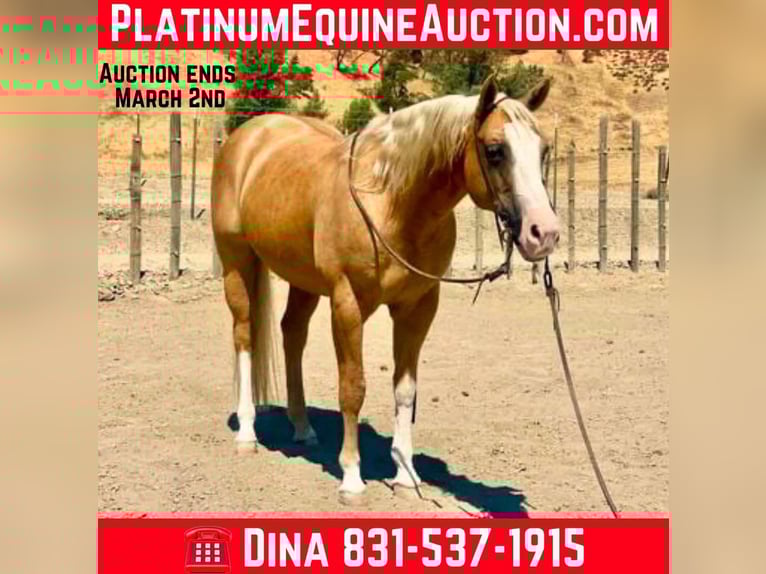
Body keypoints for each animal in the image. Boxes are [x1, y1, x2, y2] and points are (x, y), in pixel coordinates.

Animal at [211, 75, 560, 502]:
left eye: (543, 150)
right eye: (495, 151)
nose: (544, 233)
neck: (392, 203)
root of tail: (248, 136)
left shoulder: (418, 307)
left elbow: (405, 390)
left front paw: (406, 475)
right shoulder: (347, 303)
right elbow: (353, 387)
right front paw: (351, 477)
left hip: (303, 280)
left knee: (292, 335)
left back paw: (303, 427)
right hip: (237, 262)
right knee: (244, 335)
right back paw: (247, 433)